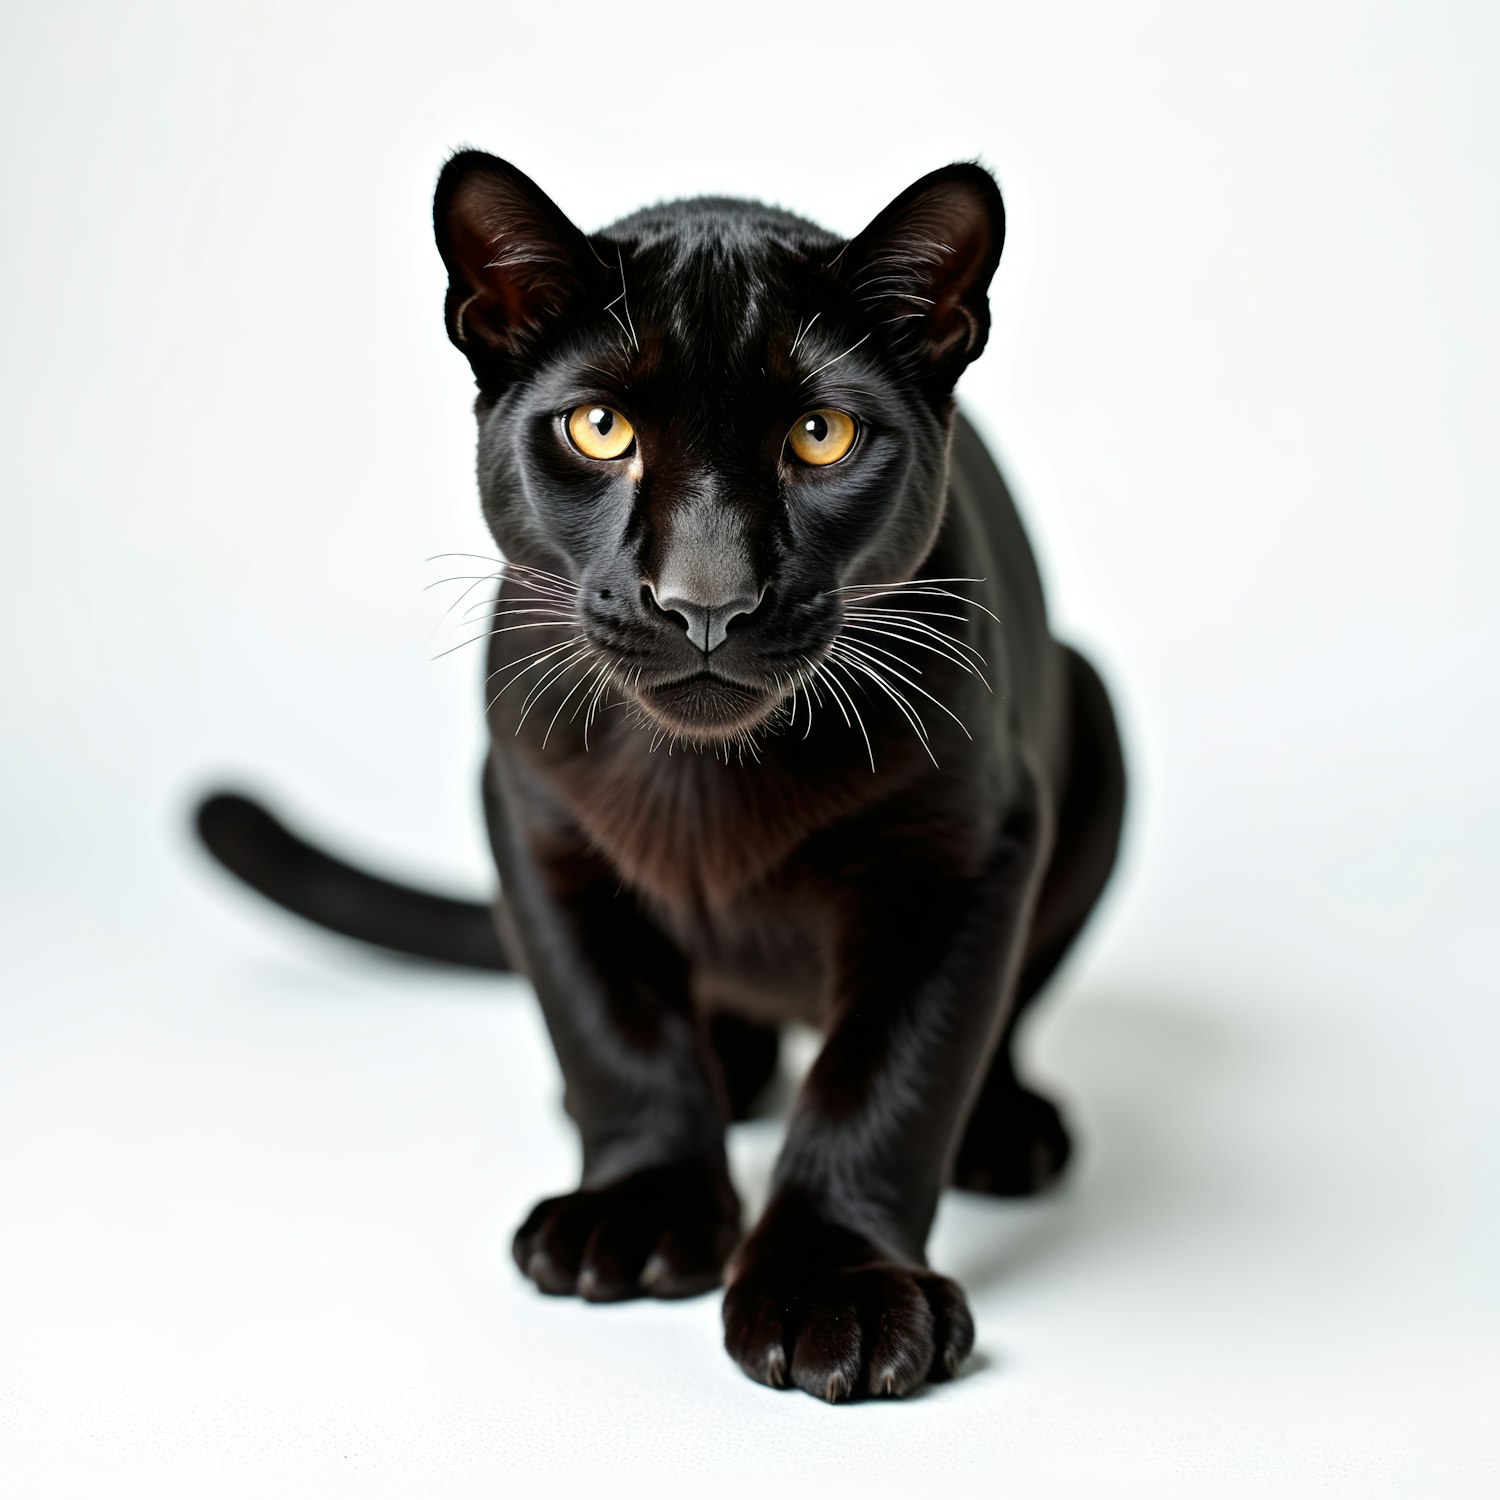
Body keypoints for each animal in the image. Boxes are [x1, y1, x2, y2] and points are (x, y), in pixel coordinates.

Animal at [202, 146, 1134, 1398]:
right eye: (600, 428)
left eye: (822, 435)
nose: (706, 600)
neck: (706, 777)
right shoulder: (538, 829)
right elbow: (613, 1029)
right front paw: (638, 1216)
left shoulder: (964, 860)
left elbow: (890, 1076)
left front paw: (837, 1291)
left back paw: (1005, 1129)